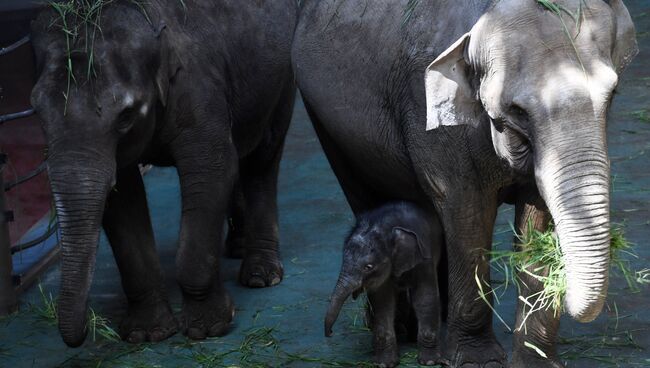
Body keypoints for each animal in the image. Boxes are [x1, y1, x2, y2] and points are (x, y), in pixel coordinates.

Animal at [322, 203, 440, 366]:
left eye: (368, 267)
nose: (331, 333)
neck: (386, 227)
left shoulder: (424, 255)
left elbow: (425, 297)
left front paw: (429, 362)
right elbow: (383, 303)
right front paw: (385, 364)